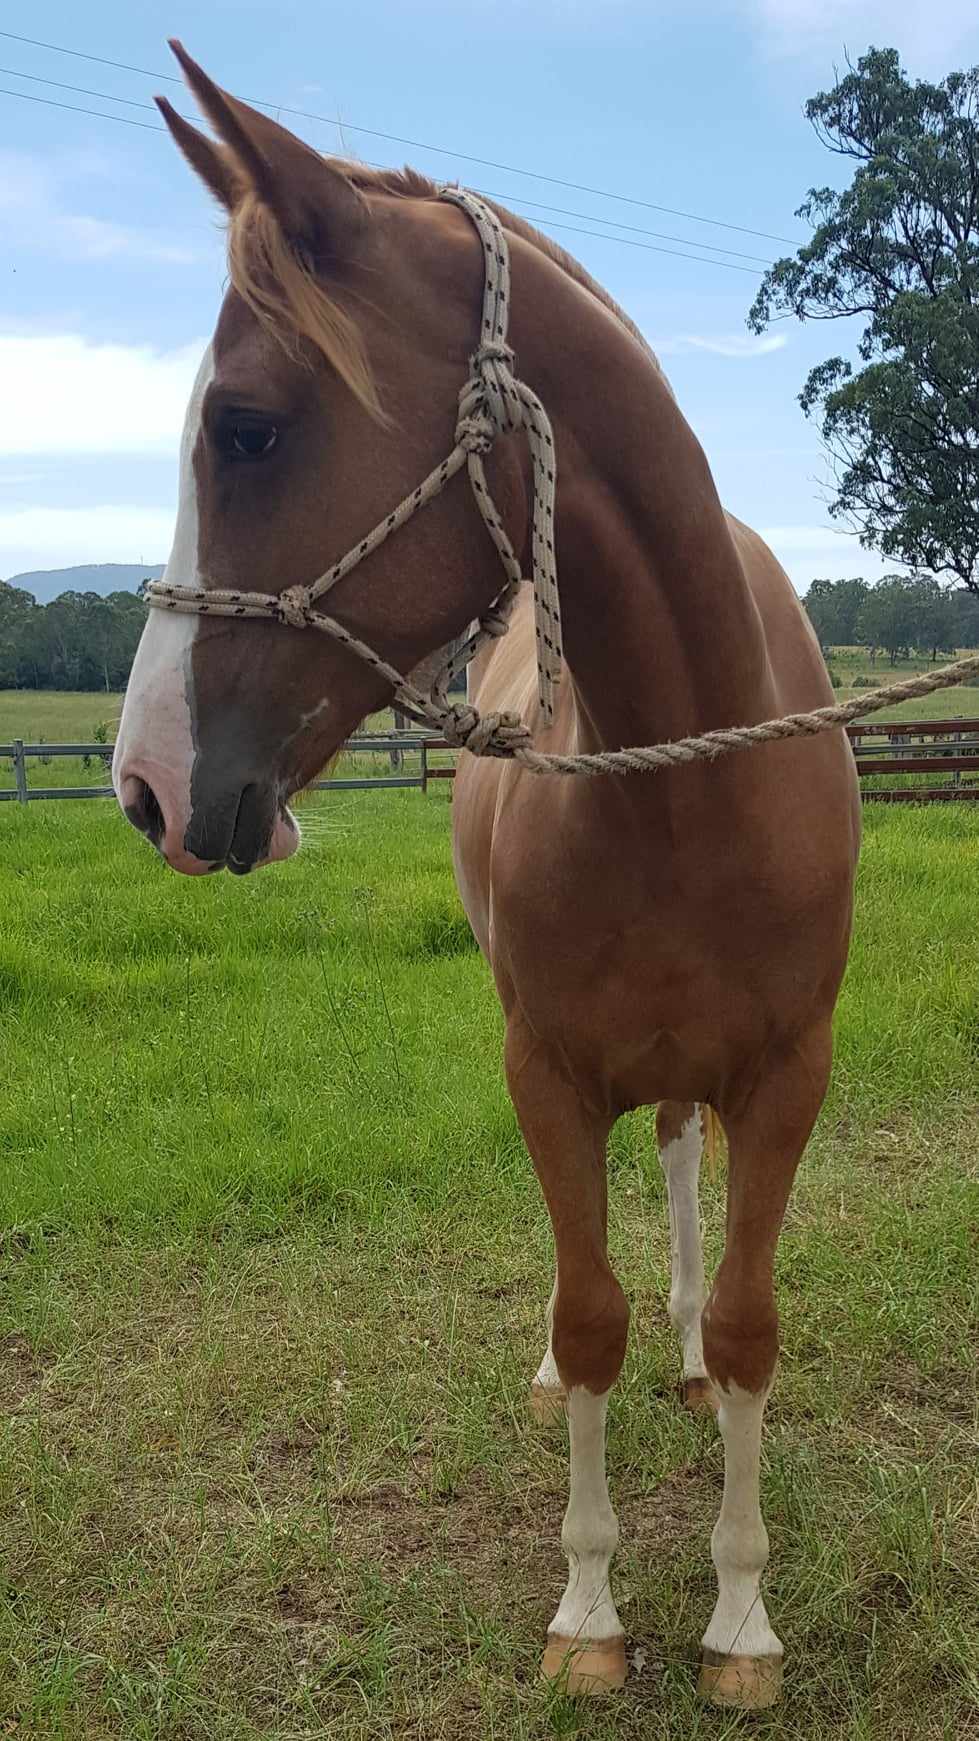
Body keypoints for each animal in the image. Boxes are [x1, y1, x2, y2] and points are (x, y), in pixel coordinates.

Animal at [113, 43, 860, 1710]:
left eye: (246, 428)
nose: (147, 788)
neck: (685, 775)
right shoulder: (544, 1067)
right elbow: (582, 1320)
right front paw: (586, 1610)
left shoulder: (786, 1074)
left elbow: (751, 1325)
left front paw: (740, 1618)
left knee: (677, 1174)